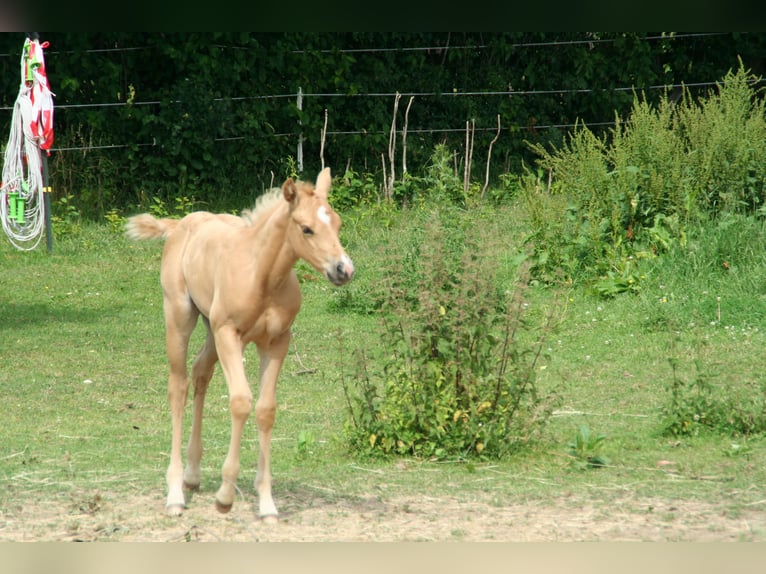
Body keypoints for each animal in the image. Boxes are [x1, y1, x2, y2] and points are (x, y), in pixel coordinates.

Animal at [125, 167, 354, 522]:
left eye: (338, 223)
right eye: (307, 228)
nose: (344, 270)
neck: (262, 275)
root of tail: (181, 225)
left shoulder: (277, 341)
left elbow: (265, 409)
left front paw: (267, 503)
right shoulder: (230, 335)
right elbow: (241, 402)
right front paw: (225, 496)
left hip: (210, 328)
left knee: (200, 372)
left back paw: (192, 475)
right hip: (181, 317)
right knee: (179, 385)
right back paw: (175, 493)